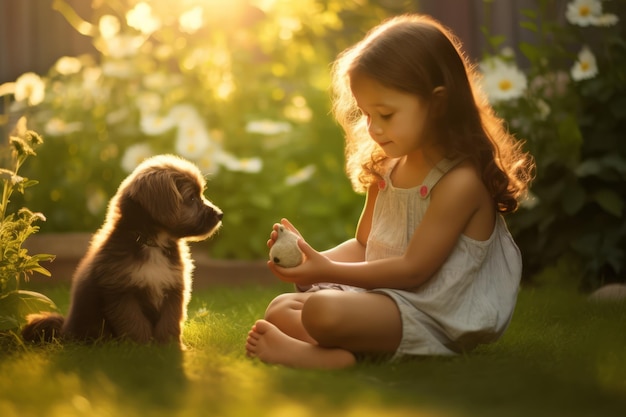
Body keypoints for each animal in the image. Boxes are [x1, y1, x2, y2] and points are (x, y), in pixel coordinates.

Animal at [22, 154, 222, 346]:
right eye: (192, 198)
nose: (220, 214)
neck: (152, 243)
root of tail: (64, 330)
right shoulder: (120, 292)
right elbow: (134, 323)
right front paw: (142, 348)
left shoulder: (174, 288)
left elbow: (170, 321)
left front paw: (171, 347)